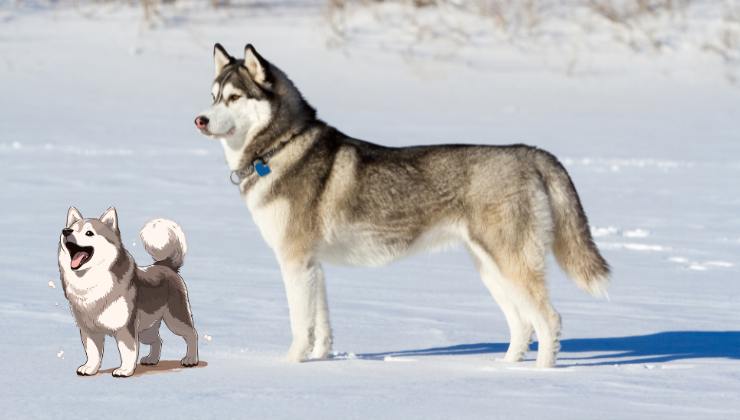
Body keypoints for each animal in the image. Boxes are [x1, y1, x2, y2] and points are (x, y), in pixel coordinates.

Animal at [57, 208, 198, 378]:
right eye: (71, 228)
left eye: (89, 233)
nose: (66, 231)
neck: (92, 282)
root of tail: (166, 266)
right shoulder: (89, 330)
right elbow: (93, 353)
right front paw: (89, 368)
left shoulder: (125, 327)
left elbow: (127, 351)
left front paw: (124, 370)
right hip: (146, 329)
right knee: (158, 340)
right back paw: (152, 359)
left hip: (174, 319)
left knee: (192, 334)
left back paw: (191, 359)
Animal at [194, 43, 608, 368]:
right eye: (213, 96)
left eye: (234, 98)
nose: (200, 120)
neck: (280, 146)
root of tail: (530, 152)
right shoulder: (314, 265)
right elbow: (322, 325)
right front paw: (322, 359)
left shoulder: (294, 261)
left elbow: (301, 325)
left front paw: (290, 365)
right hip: (490, 269)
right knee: (522, 324)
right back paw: (503, 369)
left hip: (512, 264)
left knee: (549, 320)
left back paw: (539, 378)